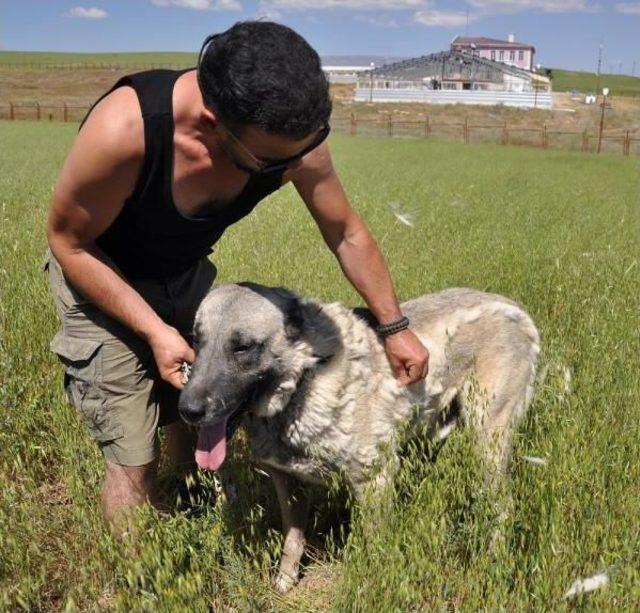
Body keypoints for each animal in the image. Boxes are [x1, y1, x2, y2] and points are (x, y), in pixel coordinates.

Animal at [179, 284, 540, 592]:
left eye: (243, 347)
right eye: (197, 340)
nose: (188, 410)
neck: (304, 379)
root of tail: (515, 309)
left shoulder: (373, 480)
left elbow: (374, 546)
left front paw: (373, 583)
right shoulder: (289, 482)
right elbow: (293, 539)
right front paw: (285, 580)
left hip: (487, 437)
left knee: (503, 504)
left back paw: (494, 557)